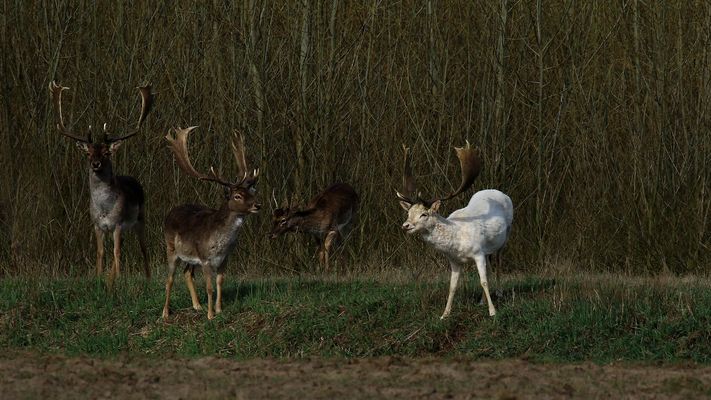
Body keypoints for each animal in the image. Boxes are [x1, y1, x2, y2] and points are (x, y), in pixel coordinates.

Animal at [49, 81, 154, 283]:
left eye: (106, 153)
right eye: (88, 153)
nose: (95, 163)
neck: (105, 207)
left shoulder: (118, 223)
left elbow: (117, 251)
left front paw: (119, 279)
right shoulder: (97, 225)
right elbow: (100, 252)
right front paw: (99, 276)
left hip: (140, 218)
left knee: (143, 248)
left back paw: (147, 277)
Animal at [162, 126, 260, 320]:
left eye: (251, 192)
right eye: (237, 196)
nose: (257, 205)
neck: (221, 243)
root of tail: (169, 212)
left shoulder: (225, 258)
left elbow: (220, 282)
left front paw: (219, 309)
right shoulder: (206, 259)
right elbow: (209, 287)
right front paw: (210, 315)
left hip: (190, 256)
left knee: (187, 273)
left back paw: (197, 305)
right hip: (171, 248)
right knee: (169, 279)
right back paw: (165, 313)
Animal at [396, 143, 513, 319]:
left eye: (424, 214)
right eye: (409, 213)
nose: (406, 225)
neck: (457, 242)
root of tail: (499, 192)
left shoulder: (478, 253)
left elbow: (483, 281)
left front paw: (493, 312)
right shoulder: (454, 260)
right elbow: (452, 286)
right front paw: (444, 314)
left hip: (506, 234)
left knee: (498, 261)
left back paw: (498, 293)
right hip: (488, 248)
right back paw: (481, 301)